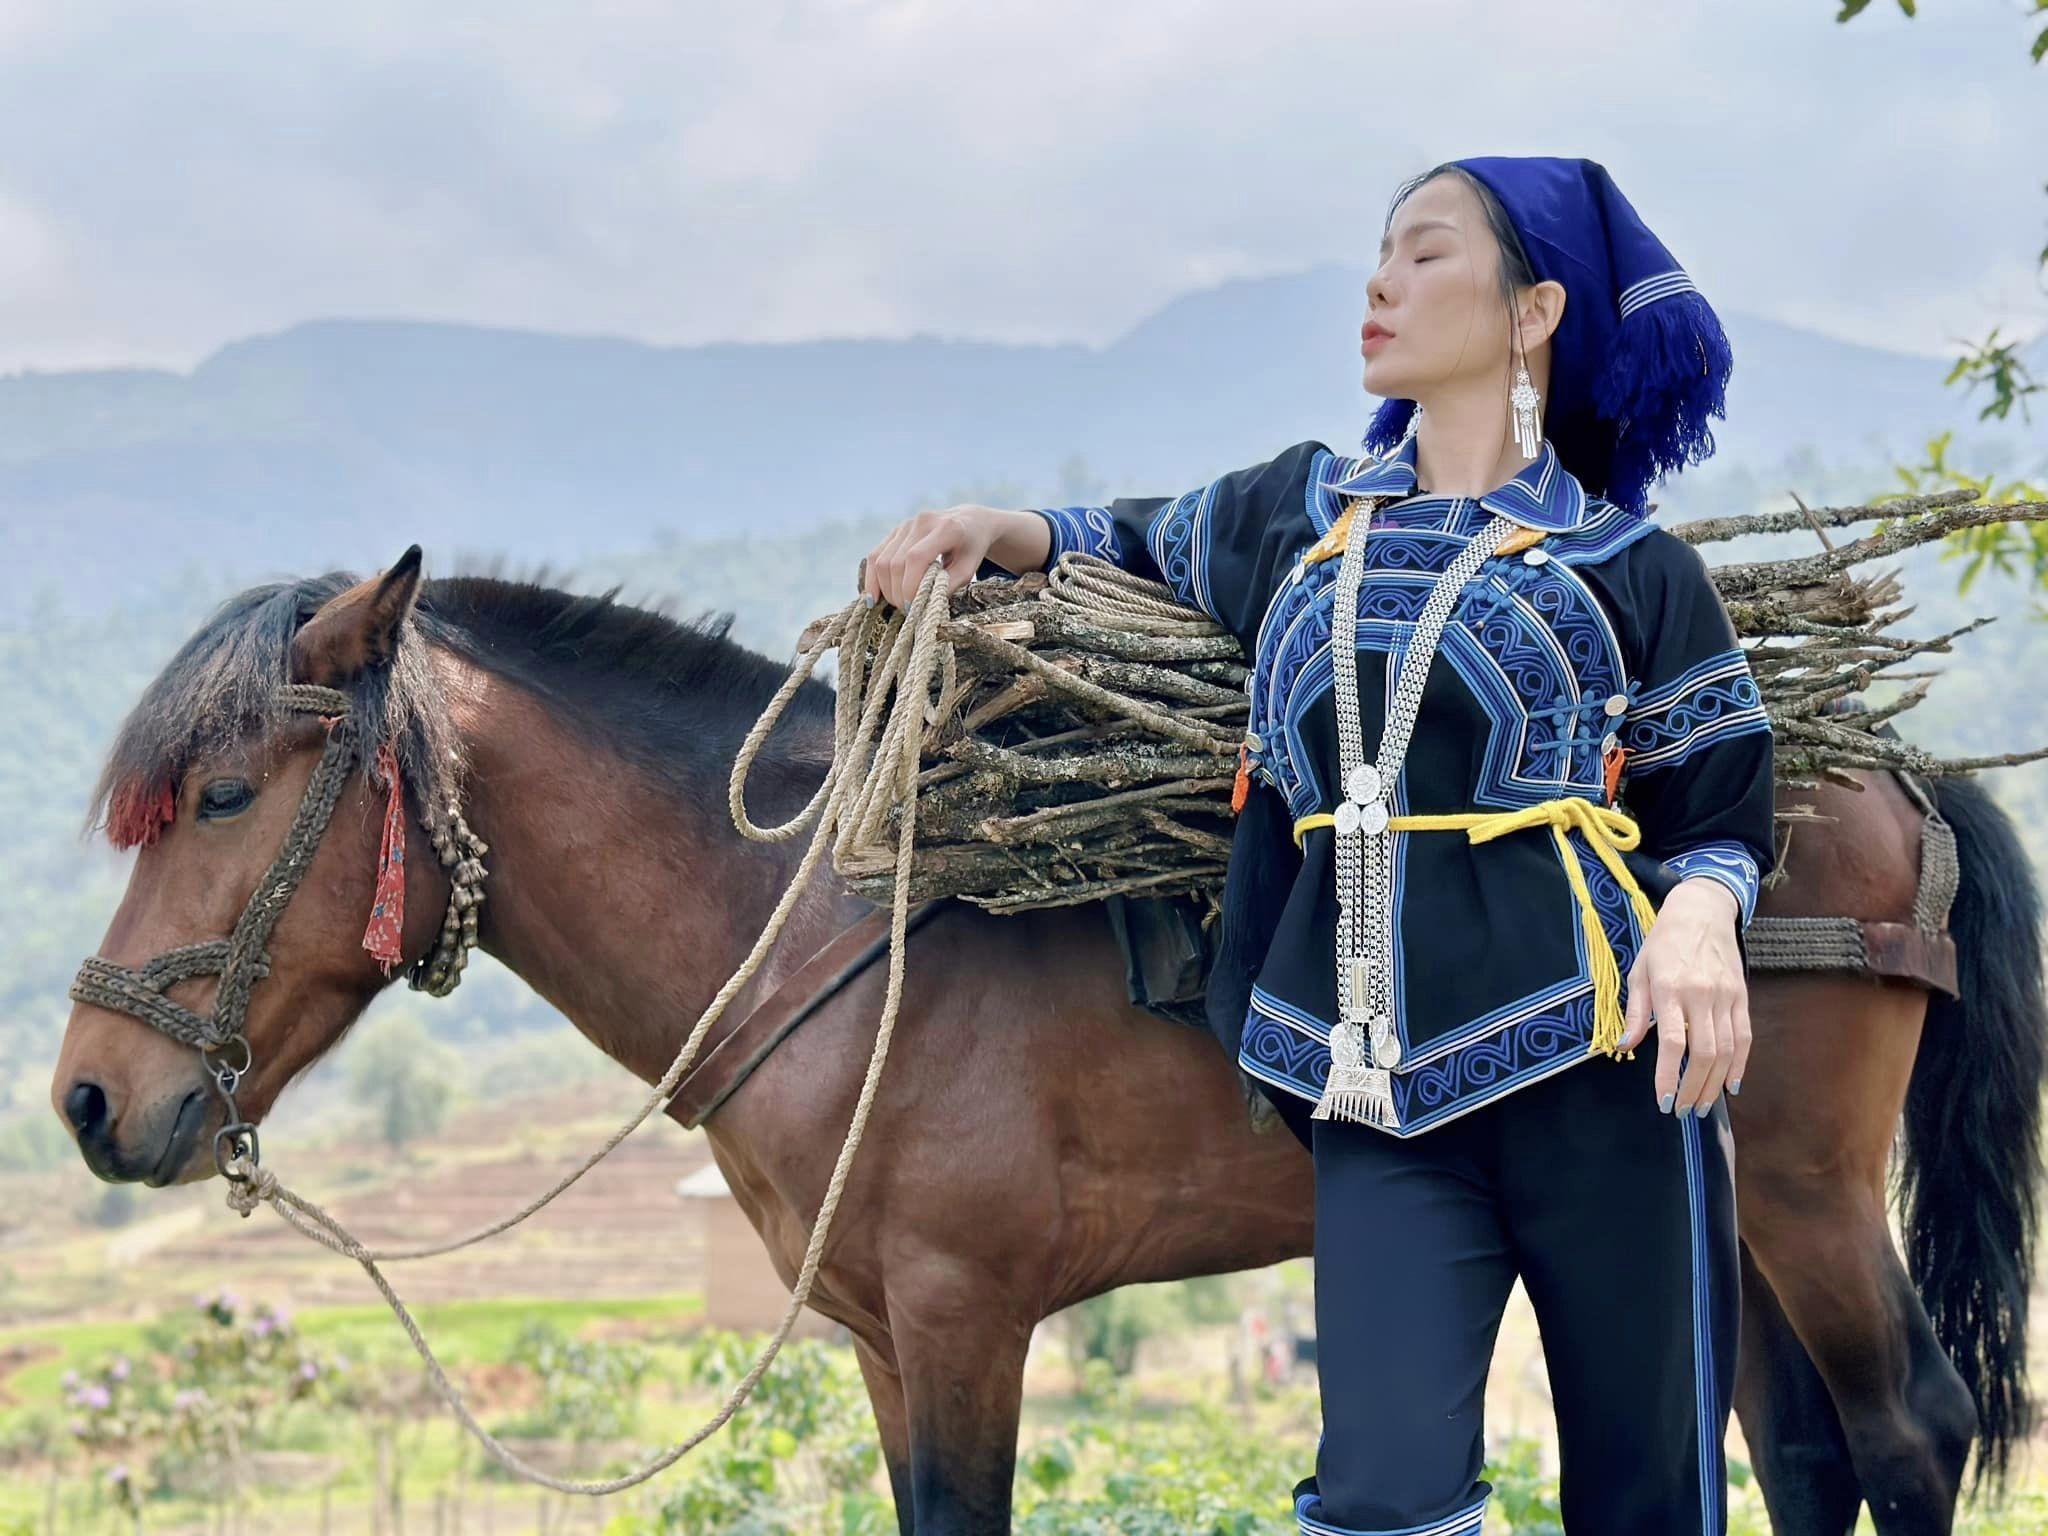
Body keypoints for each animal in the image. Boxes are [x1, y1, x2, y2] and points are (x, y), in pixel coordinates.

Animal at [51, 557, 2048, 1536]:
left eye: (220, 795)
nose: (86, 1097)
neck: (822, 919)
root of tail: (1887, 769)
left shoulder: (964, 1323)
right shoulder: (879, 1342)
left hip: (1803, 1188)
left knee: (1908, 1433)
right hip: (1715, 1201)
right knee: (1793, 1455)